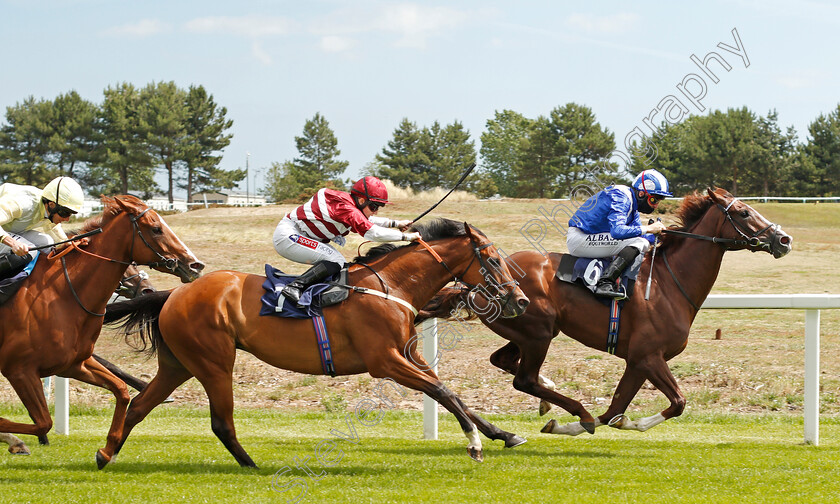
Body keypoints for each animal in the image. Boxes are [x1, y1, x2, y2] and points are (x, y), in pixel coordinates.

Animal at [0, 195, 203, 462]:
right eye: (156, 228)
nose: (195, 265)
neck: (62, 294)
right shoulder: (19, 370)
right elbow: (43, 422)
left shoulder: (73, 364)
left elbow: (121, 390)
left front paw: (107, 451)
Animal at [103, 219, 524, 466]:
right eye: (492, 260)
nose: (519, 300)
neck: (391, 286)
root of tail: (174, 294)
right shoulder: (385, 361)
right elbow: (443, 392)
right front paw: (474, 444)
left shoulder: (409, 357)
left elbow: (451, 393)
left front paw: (503, 434)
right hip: (213, 362)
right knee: (220, 421)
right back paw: (251, 465)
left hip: (179, 363)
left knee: (139, 405)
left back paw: (105, 454)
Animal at [420, 191, 796, 436]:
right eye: (744, 213)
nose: (784, 239)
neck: (668, 282)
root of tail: (481, 283)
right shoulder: (649, 356)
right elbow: (677, 402)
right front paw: (612, 422)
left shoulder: (638, 361)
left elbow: (616, 408)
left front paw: (606, 422)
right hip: (538, 332)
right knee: (523, 378)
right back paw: (575, 409)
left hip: (528, 332)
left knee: (505, 363)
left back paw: (550, 401)